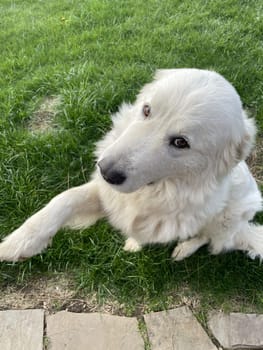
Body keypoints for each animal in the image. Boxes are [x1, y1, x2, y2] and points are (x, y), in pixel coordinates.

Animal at [0, 68, 263, 262]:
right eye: (147, 110)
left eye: (181, 142)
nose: (106, 171)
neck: (155, 189)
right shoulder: (106, 194)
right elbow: (63, 199)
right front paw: (20, 242)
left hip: (230, 217)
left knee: (210, 240)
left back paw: (183, 249)